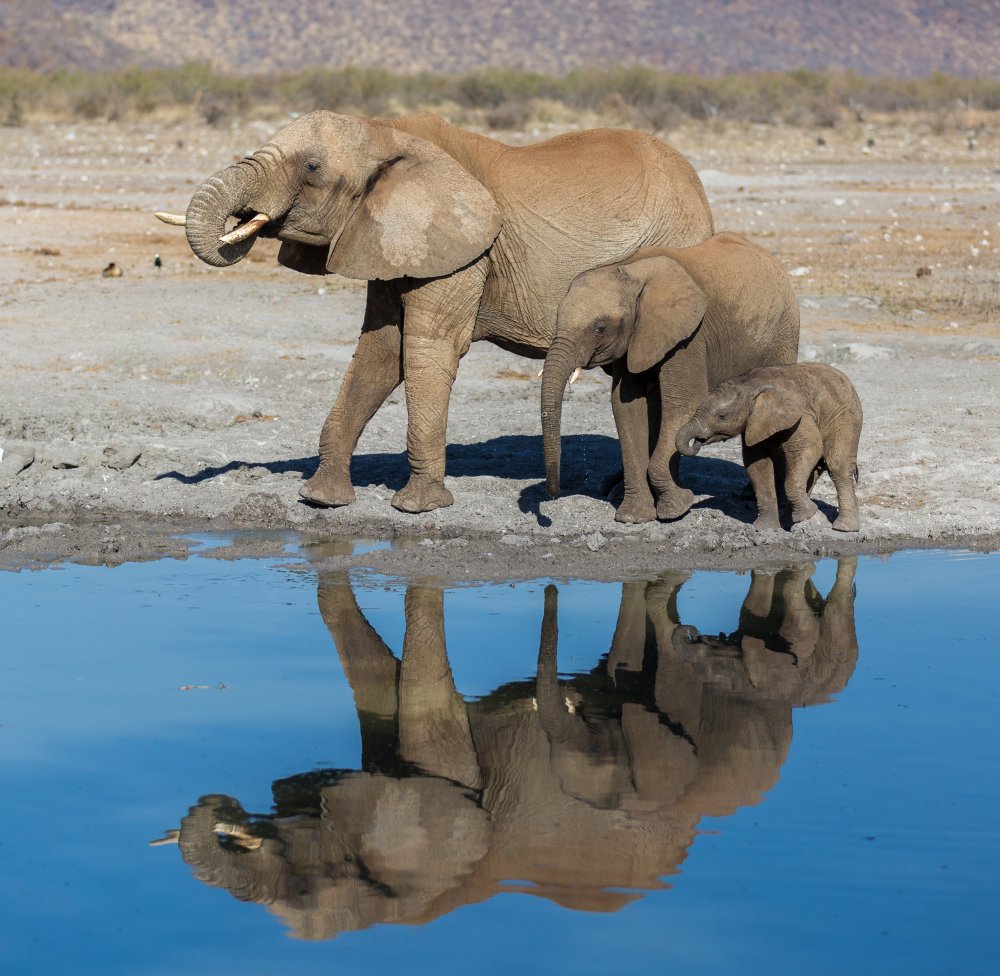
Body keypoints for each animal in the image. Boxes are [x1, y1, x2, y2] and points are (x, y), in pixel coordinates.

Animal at [156, 111, 712, 516]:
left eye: (311, 169)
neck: (387, 131)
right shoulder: (390, 238)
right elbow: (380, 351)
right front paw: (321, 499)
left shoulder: (463, 251)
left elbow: (426, 349)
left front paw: (418, 508)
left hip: (672, 250)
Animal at [544, 232, 800, 524]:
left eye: (600, 328)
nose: (553, 493)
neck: (631, 271)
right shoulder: (636, 338)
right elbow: (627, 409)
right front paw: (634, 517)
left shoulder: (690, 337)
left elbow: (684, 403)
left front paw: (677, 509)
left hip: (783, 332)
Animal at [676, 364, 864, 532]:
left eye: (721, 416)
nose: (698, 441)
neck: (750, 384)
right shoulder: (753, 422)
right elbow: (756, 464)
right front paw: (764, 529)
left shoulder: (800, 414)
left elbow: (809, 447)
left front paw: (807, 514)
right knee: (817, 468)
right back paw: (789, 523)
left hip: (845, 416)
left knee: (837, 465)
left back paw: (843, 528)